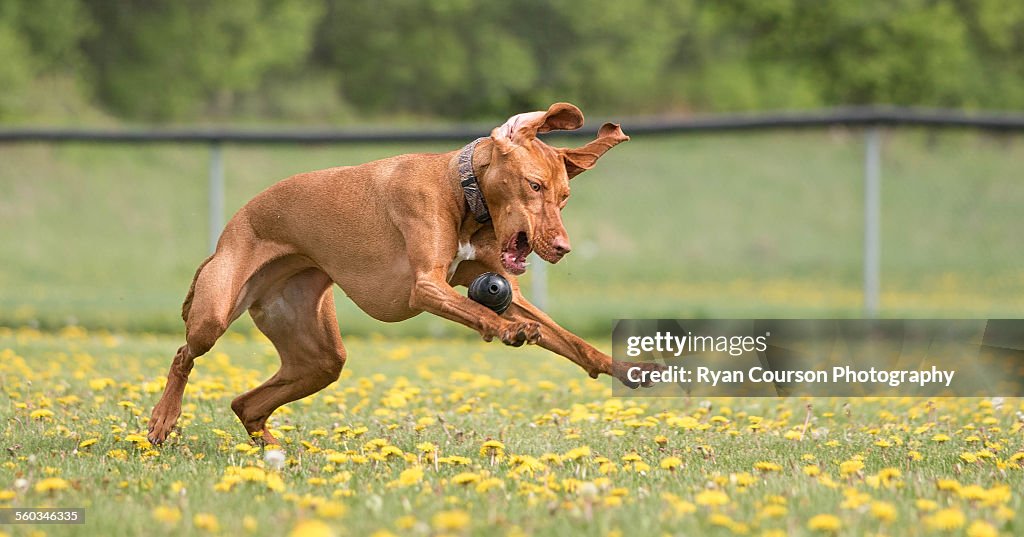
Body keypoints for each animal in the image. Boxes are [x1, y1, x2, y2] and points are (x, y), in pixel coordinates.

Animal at [146, 101, 655, 444]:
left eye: (564, 197)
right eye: (534, 186)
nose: (564, 248)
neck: (462, 190)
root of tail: (227, 234)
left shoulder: (501, 288)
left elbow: (569, 340)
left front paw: (625, 368)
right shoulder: (425, 287)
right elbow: (483, 313)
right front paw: (508, 332)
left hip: (319, 356)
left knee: (245, 404)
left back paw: (278, 454)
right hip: (216, 312)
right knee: (184, 355)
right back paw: (163, 419)